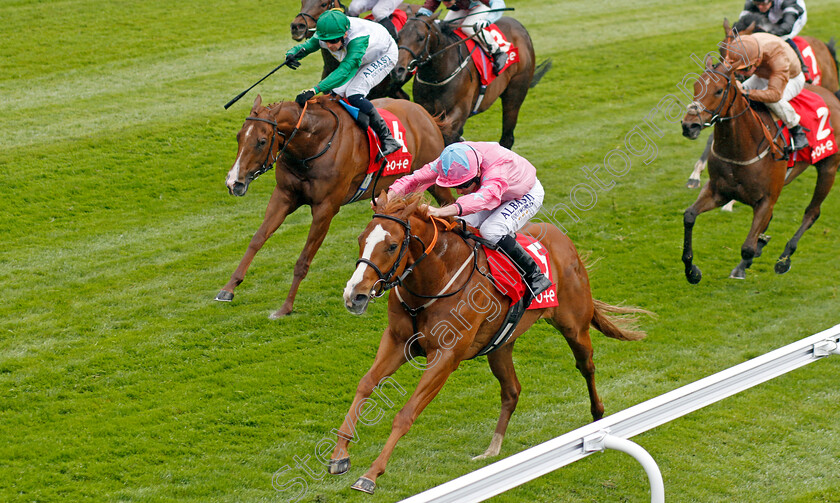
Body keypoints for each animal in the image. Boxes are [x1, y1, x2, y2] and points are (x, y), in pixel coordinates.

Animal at [217, 95, 452, 316]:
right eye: (239, 137)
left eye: (262, 141)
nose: (233, 182)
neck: (314, 144)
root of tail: (423, 113)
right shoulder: (284, 195)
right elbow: (257, 239)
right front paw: (229, 288)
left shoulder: (325, 208)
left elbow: (303, 260)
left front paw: (285, 307)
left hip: (435, 178)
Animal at [328, 194, 648, 496]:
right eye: (360, 240)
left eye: (392, 245)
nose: (354, 295)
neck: (435, 280)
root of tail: (563, 240)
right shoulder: (397, 341)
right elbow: (366, 384)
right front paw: (339, 455)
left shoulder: (445, 357)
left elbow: (405, 414)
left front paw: (371, 475)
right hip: (500, 345)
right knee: (512, 391)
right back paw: (492, 449)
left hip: (574, 326)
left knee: (587, 366)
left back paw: (597, 416)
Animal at [388, 10, 548, 149]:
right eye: (398, 37)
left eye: (421, 37)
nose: (398, 70)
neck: (437, 76)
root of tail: (520, 27)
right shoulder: (426, 110)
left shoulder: (458, 111)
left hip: (515, 93)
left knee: (507, 138)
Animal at [684, 59, 840, 284]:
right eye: (696, 87)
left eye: (719, 90)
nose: (689, 126)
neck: (741, 147)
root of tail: (833, 97)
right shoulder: (718, 191)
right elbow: (689, 216)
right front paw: (692, 271)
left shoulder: (766, 200)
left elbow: (747, 248)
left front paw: (744, 264)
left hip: (828, 167)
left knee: (812, 212)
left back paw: (784, 258)